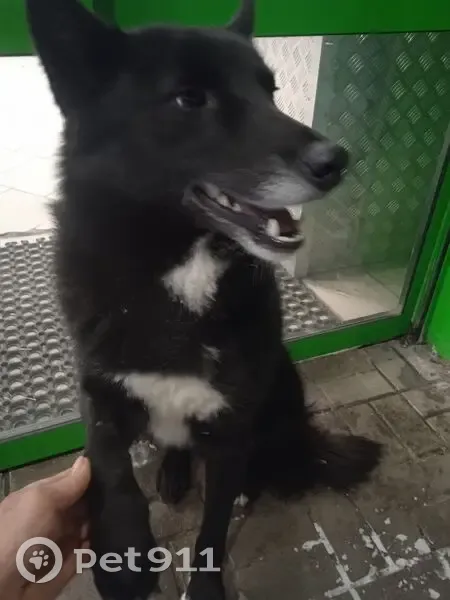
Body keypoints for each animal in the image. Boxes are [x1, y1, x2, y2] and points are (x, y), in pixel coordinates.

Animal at [27, 1, 381, 599]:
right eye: (190, 98)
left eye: (271, 91)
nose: (337, 160)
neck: (181, 274)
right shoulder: (99, 397)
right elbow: (112, 475)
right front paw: (124, 559)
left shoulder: (232, 428)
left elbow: (212, 530)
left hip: (281, 384)